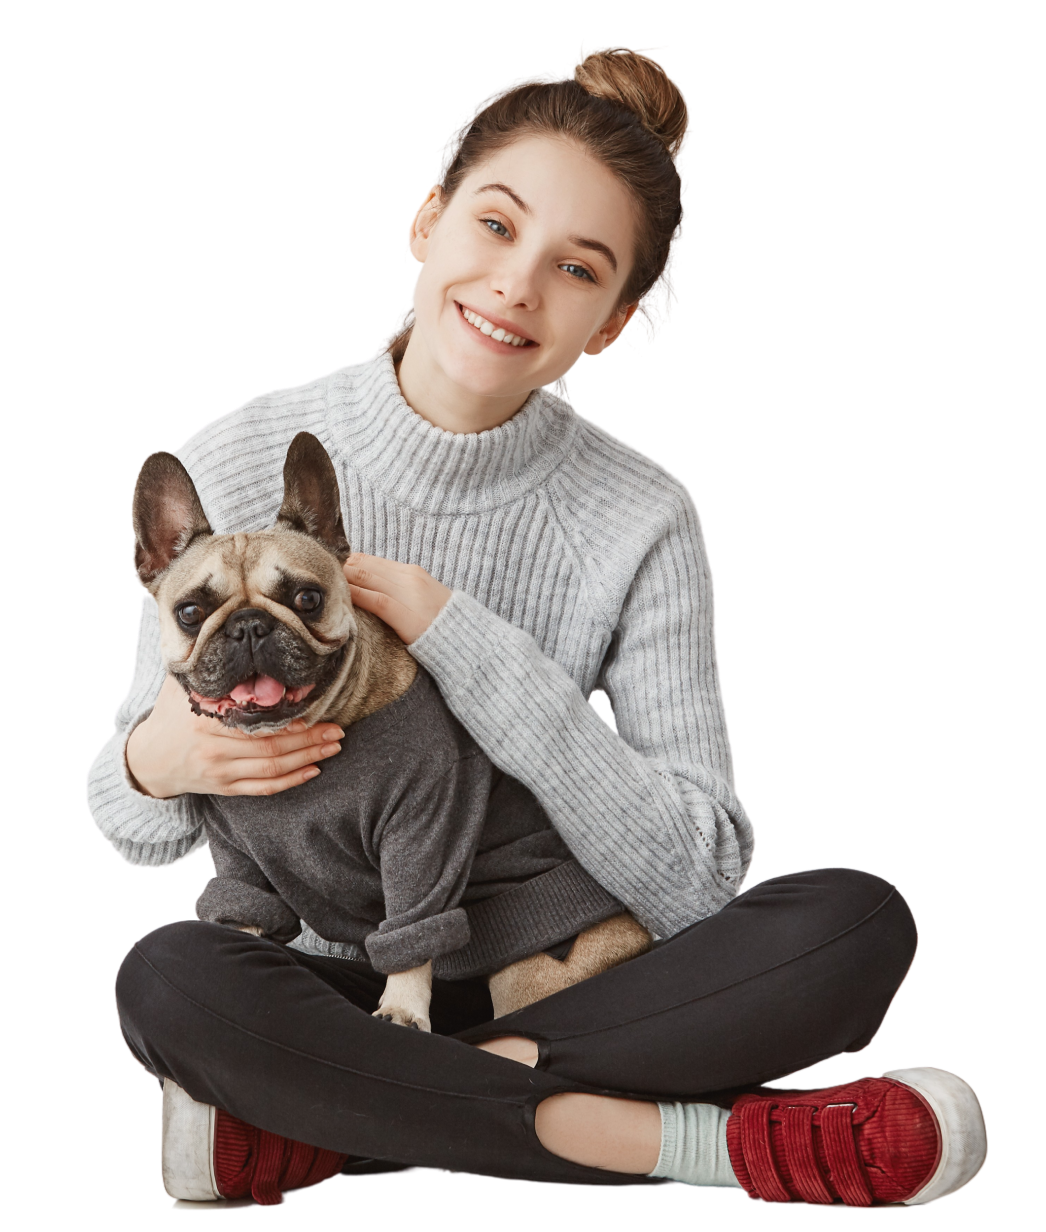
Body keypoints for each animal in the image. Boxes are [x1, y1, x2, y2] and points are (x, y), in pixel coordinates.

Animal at [132, 433, 650, 1029]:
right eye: (191, 612)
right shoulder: (237, 855)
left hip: (537, 974)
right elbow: (240, 907)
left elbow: (413, 926)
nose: (249, 627)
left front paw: (402, 1009)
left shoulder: (424, 831)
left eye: (307, 599)